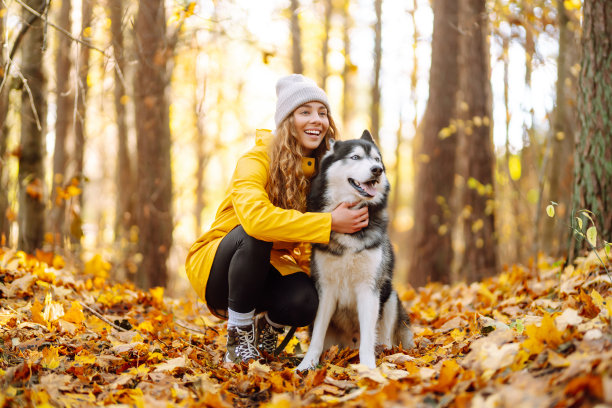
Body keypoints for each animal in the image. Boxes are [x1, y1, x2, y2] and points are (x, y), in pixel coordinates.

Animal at [296, 129, 414, 372]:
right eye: (356, 157)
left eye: (377, 159)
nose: (377, 170)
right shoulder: (326, 289)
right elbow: (317, 334)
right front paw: (307, 364)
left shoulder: (369, 288)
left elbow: (368, 337)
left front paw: (368, 368)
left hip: (390, 296)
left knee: (385, 340)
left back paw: (386, 354)